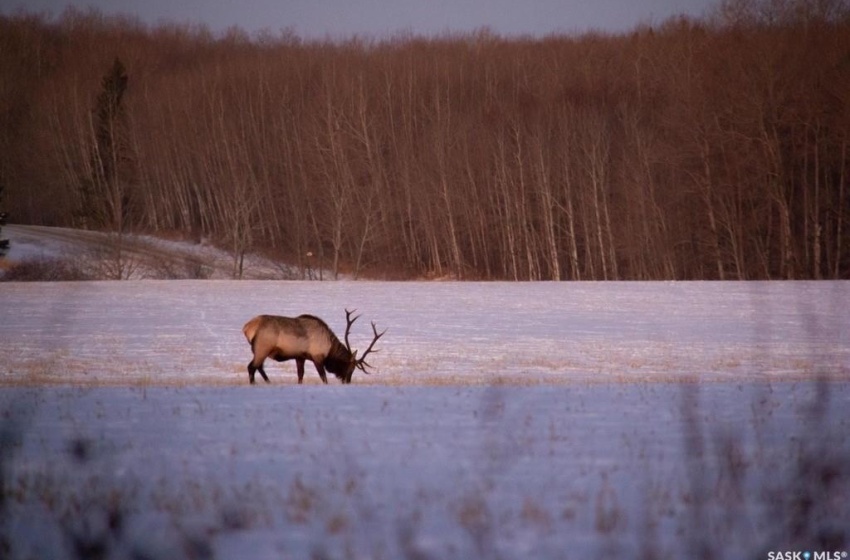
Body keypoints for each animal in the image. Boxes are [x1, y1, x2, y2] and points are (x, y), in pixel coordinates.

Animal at [238, 310, 384, 384]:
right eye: (351, 368)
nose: (347, 381)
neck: (329, 349)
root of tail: (247, 328)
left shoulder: (299, 357)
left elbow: (300, 375)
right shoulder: (317, 357)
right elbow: (323, 377)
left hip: (261, 350)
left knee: (259, 367)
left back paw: (269, 382)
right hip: (262, 347)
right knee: (252, 367)